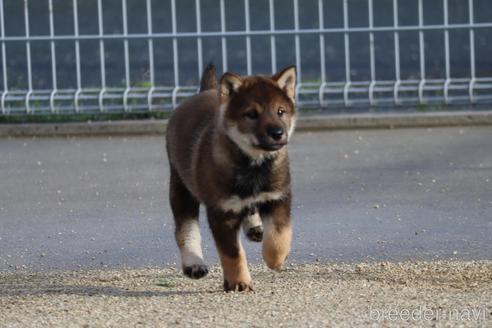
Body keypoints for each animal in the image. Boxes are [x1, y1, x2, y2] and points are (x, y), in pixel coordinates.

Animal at [165, 64, 296, 292]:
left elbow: (279, 235)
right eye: (251, 114)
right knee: (185, 229)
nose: (278, 133)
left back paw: (255, 227)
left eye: (281, 111)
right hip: (181, 189)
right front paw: (239, 282)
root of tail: (204, 91)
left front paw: (275, 259)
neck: (253, 164)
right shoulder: (222, 213)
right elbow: (232, 254)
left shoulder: (278, 197)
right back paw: (193, 263)